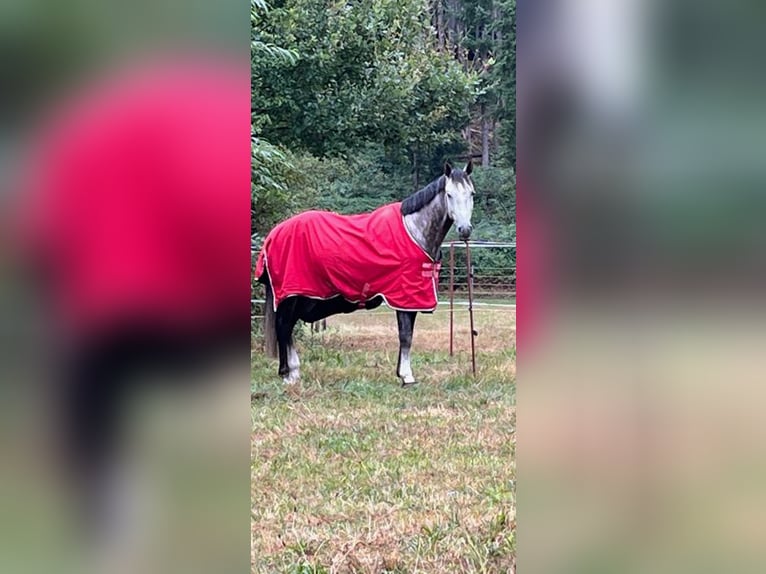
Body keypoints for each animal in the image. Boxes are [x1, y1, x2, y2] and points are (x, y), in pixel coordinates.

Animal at [256, 161, 474, 388]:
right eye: (449, 194)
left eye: (471, 193)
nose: (465, 230)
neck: (414, 231)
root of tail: (273, 235)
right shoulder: (405, 297)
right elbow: (406, 336)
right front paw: (407, 376)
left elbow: (406, 335)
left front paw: (401, 373)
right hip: (291, 295)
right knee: (284, 327)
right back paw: (288, 374)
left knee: (287, 328)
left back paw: (293, 372)